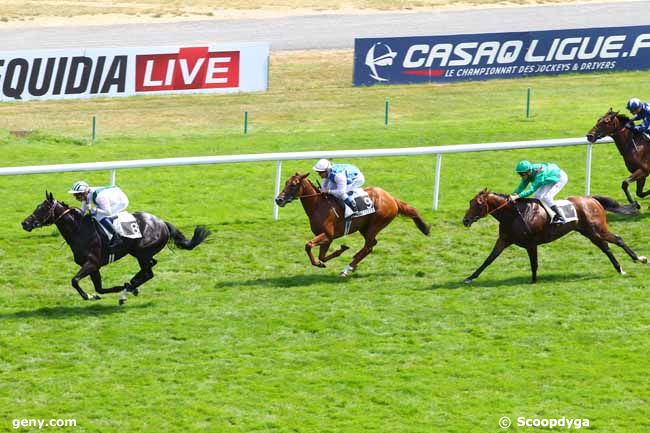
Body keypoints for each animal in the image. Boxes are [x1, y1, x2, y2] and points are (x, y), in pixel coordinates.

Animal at [22, 192, 209, 304]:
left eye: (43, 208)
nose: (25, 223)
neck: (79, 229)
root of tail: (162, 222)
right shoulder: (94, 266)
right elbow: (99, 288)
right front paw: (97, 294)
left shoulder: (92, 262)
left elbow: (74, 280)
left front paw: (88, 295)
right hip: (138, 252)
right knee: (150, 267)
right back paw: (130, 287)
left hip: (142, 253)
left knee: (148, 272)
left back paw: (128, 289)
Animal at [274, 170, 430, 276]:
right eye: (286, 183)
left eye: (294, 185)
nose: (278, 200)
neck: (319, 205)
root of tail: (392, 198)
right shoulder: (327, 238)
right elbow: (321, 256)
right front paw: (335, 253)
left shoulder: (328, 234)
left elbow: (308, 245)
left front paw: (321, 261)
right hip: (365, 228)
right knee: (371, 245)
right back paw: (353, 263)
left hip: (375, 225)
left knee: (368, 247)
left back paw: (347, 268)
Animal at [460, 189, 644, 284]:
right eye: (470, 202)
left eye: (478, 204)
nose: (465, 220)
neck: (514, 215)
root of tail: (591, 199)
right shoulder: (504, 240)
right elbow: (489, 259)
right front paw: (470, 277)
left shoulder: (531, 243)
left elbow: (534, 263)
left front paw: (533, 281)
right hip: (589, 232)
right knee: (606, 247)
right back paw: (619, 268)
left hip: (597, 229)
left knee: (618, 240)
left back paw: (639, 259)